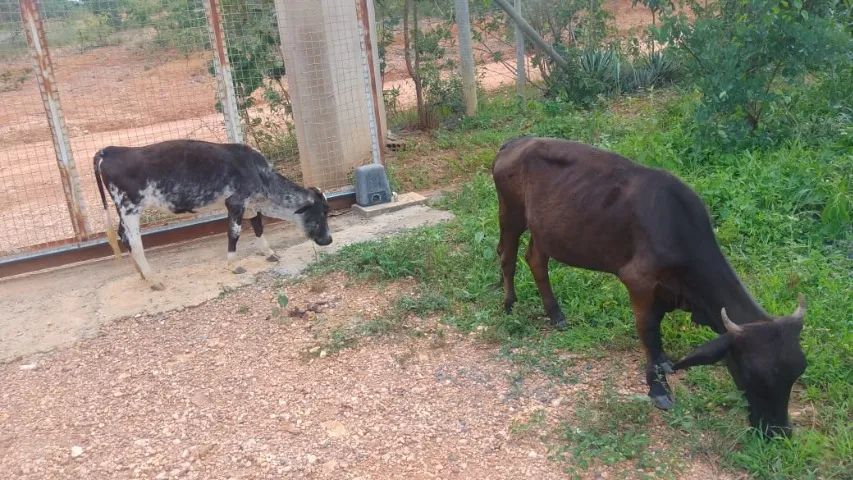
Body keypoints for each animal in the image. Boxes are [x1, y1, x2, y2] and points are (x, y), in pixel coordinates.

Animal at [94, 139, 332, 290]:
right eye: (321, 213)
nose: (329, 239)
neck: (261, 175)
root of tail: (111, 150)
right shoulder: (235, 201)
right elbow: (234, 233)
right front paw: (233, 264)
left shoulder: (250, 202)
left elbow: (258, 225)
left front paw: (269, 252)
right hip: (129, 207)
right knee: (134, 241)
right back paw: (153, 279)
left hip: (125, 211)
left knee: (122, 235)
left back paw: (142, 273)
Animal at [493, 136, 807, 437]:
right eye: (753, 375)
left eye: (798, 371)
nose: (778, 432)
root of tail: (514, 141)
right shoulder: (639, 282)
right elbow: (649, 332)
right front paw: (658, 388)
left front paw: (664, 363)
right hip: (511, 214)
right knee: (508, 256)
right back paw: (509, 304)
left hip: (544, 230)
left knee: (535, 259)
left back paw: (555, 314)